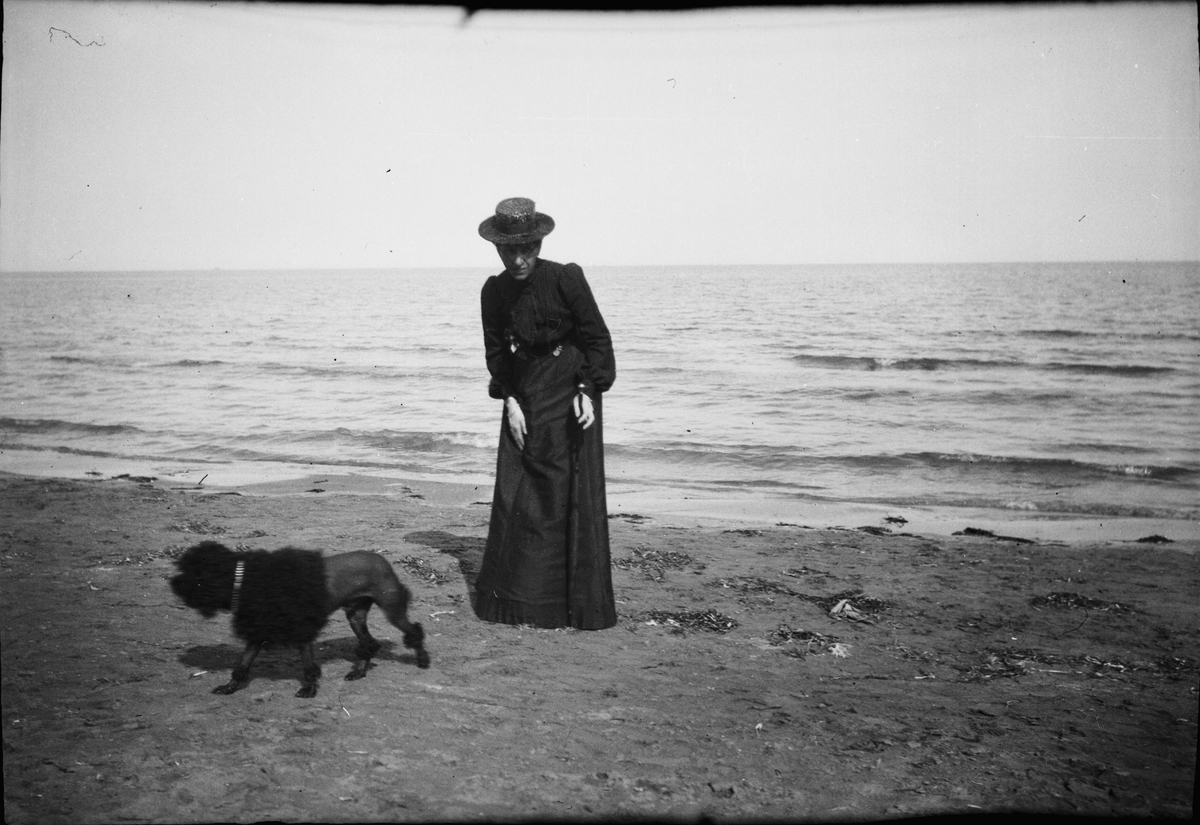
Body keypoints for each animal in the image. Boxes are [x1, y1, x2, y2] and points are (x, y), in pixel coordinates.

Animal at [171, 541, 430, 698]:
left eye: (195, 574)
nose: (173, 583)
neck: (246, 580)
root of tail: (383, 560)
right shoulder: (259, 632)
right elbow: (242, 664)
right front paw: (230, 687)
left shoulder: (302, 630)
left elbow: (308, 666)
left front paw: (309, 689)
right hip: (356, 615)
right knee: (368, 644)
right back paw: (358, 672)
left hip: (392, 609)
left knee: (412, 631)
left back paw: (422, 660)